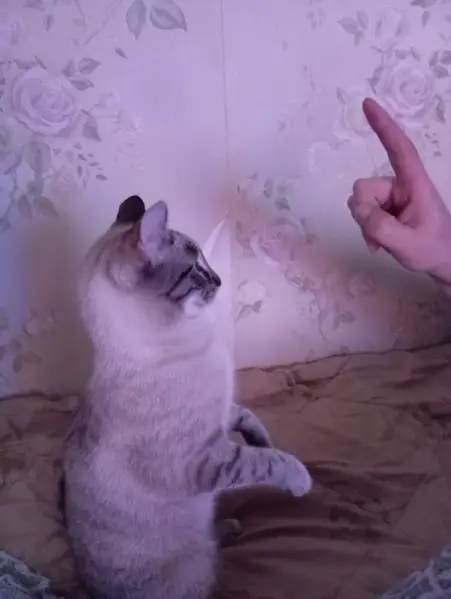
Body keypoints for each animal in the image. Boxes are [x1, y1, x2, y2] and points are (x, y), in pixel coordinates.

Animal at [63, 195, 312, 599]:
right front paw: (301, 479)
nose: (221, 280)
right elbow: (267, 462)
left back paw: (229, 527)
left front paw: (263, 437)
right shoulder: (207, 461)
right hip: (195, 569)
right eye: (196, 269)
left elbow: (247, 419)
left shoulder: (221, 413)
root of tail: (89, 592)